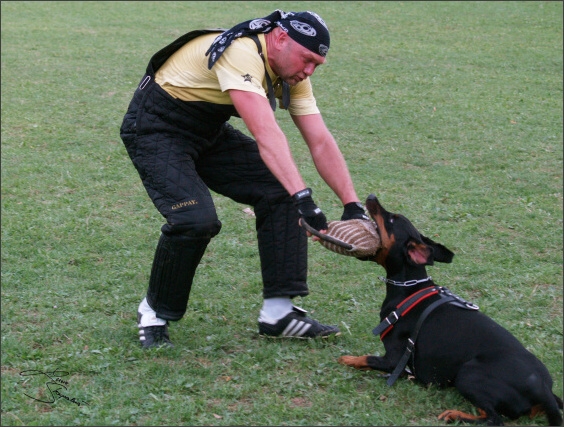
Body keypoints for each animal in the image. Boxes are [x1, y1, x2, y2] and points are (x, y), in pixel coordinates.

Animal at [338, 196, 560, 426]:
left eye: (391, 219)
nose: (371, 197)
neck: (408, 288)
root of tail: (543, 390)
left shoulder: (393, 359)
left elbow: (368, 358)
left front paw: (349, 359)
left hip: (467, 374)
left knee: (493, 418)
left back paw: (455, 414)